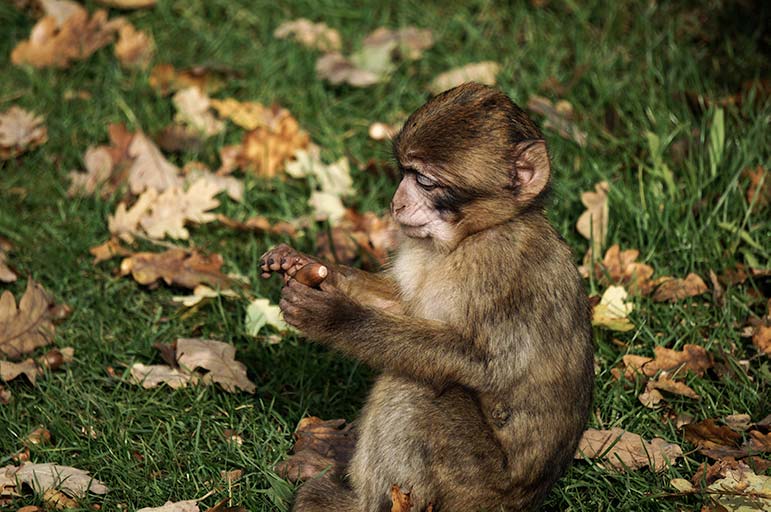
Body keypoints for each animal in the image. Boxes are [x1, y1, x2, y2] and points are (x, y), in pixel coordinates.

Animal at [262, 82, 596, 510]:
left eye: (424, 180)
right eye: (404, 171)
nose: (395, 202)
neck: (471, 236)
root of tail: (526, 501)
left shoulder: (500, 265)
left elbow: (484, 363)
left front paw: (336, 316)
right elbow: (403, 306)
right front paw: (306, 266)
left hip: (473, 488)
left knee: (415, 391)